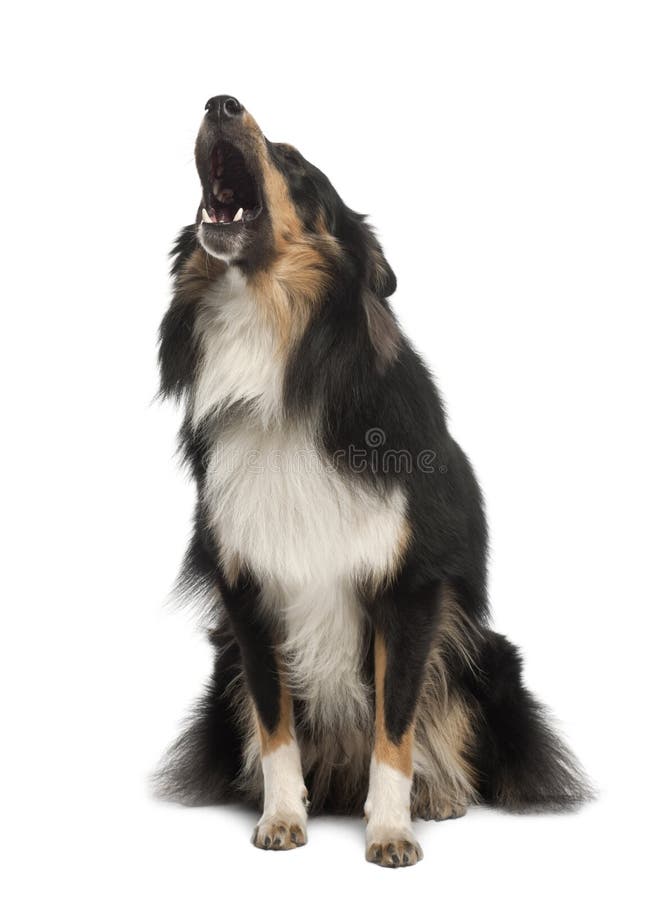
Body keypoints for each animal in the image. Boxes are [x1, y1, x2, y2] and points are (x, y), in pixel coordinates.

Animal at [156, 96, 588, 864]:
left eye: (292, 160)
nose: (219, 102)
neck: (284, 363)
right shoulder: (248, 596)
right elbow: (275, 727)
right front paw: (281, 818)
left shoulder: (409, 589)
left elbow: (396, 726)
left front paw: (390, 831)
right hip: (224, 662)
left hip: (484, 652)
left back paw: (440, 796)